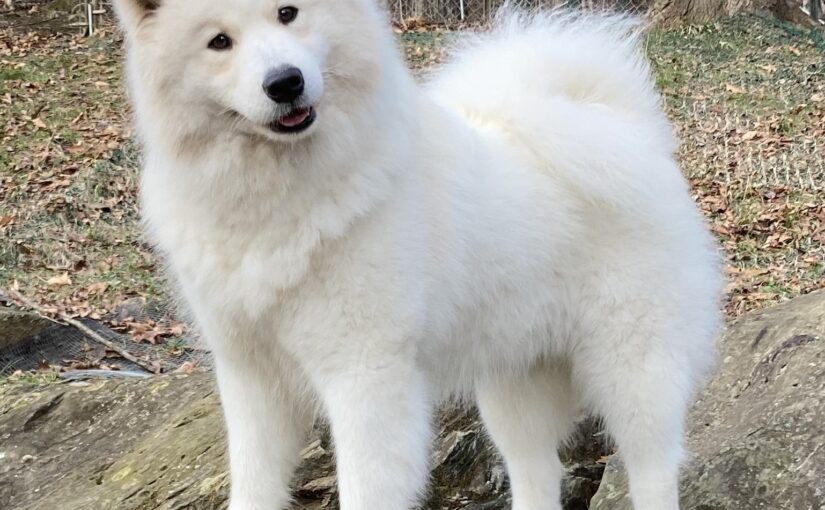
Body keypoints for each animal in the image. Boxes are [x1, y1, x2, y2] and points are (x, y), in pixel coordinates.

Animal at [112, 0, 716, 508]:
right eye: (219, 41)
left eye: (288, 13)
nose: (286, 82)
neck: (277, 194)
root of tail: (622, 127)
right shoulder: (252, 379)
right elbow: (253, 484)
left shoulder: (365, 377)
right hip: (513, 386)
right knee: (536, 470)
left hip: (634, 371)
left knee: (652, 467)